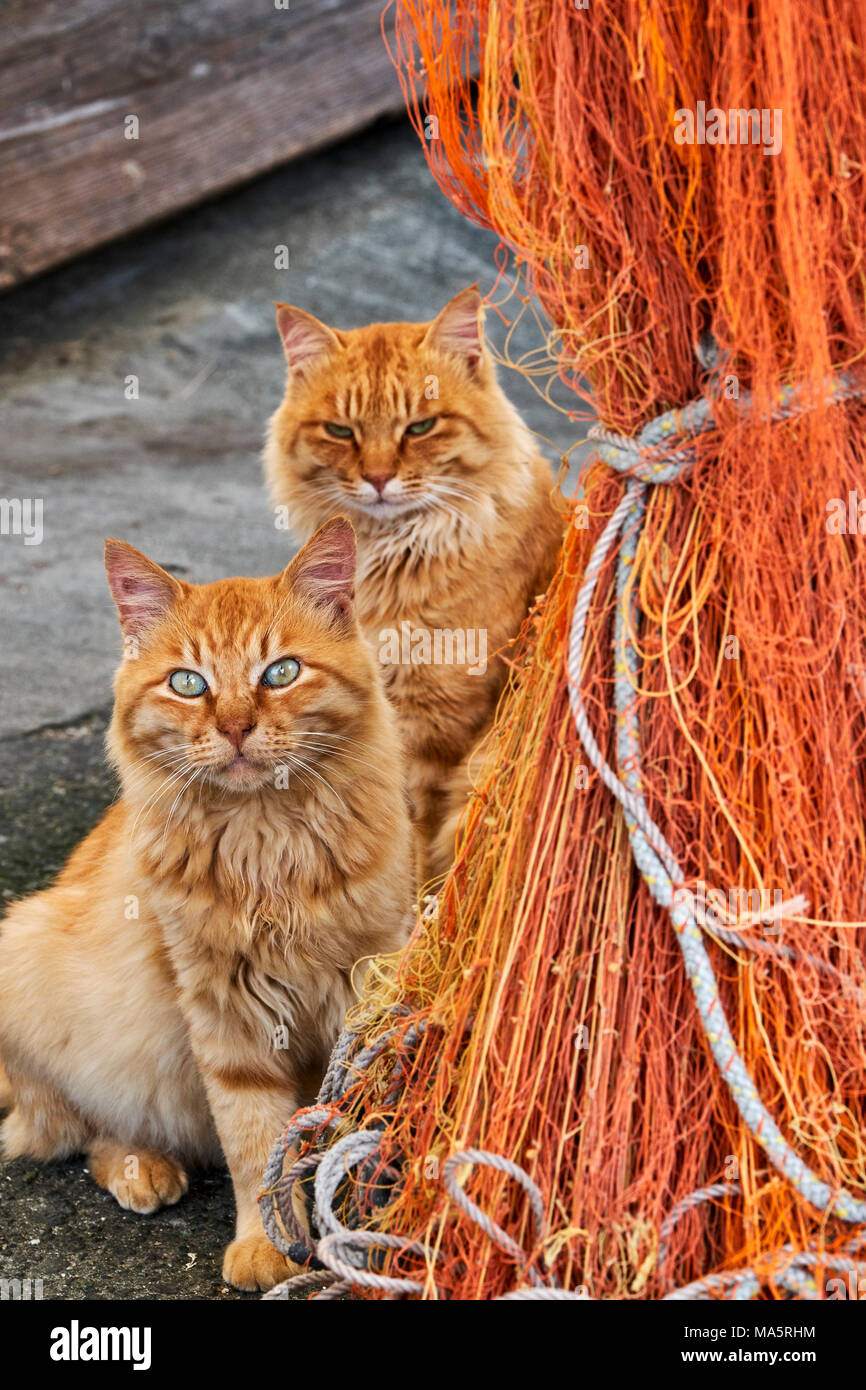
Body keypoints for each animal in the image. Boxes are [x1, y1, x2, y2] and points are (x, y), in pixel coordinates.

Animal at [0, 522, 414, 1289]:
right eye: (188, 684)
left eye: (280, 672)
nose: (236, 727)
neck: (265, 844)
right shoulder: (224, 1011)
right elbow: (254, 1141)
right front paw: (269, 1243)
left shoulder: (362, 983)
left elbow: (340, 1122)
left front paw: (354, 1231)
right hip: (34, 955)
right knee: (81, 1131)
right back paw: (143, 1170)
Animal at [264, 284, 567, 878]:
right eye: (341, 432)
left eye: (420, 428)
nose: (379, 479)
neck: (387, 555)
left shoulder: (437, 727)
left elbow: (412, 848)